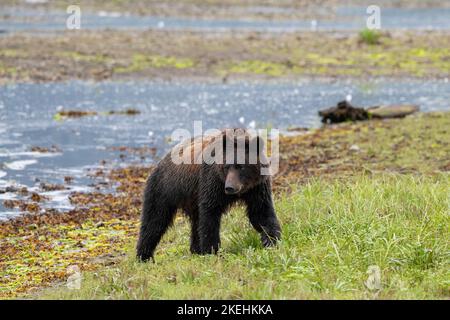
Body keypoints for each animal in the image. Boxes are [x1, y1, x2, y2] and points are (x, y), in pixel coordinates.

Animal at [136, 129, 282, 262]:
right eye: (227, 166)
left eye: (241, 166)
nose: (229, 187)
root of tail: (159, 163)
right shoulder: (213, 182)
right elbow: (210, 215)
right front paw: (212, 250)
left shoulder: (257, 188)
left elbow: (261, 212)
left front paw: (271, 240)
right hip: (164, 189)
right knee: (154, 221)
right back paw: (144, 256)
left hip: (191, 198)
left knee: (194, 223)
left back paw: (195, 250)